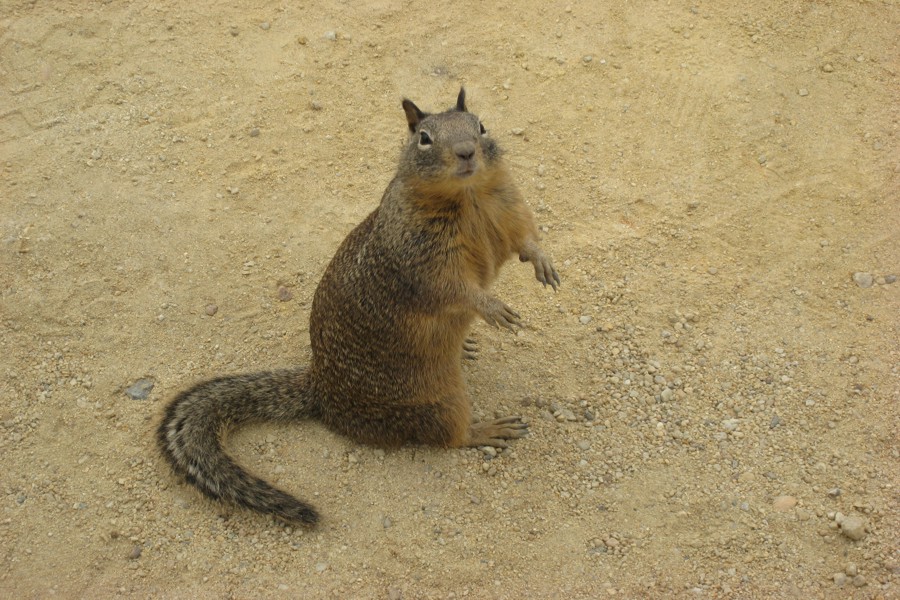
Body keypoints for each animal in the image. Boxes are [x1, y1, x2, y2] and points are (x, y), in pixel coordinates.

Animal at [158, 86, 560, 524]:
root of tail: (322, 390)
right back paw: (487, 429)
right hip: (440, 400)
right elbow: (453, 289)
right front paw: (492, 308)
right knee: (447, 436)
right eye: (424, 137)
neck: (469, 197)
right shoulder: (423, 257)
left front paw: (544, 263)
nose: (468, 152)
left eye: (481, 125)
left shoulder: (509, 208)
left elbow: (525, 238)